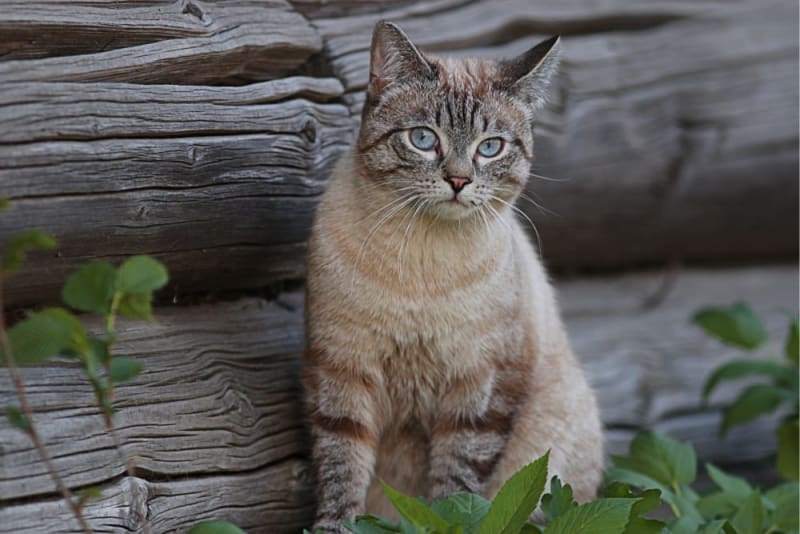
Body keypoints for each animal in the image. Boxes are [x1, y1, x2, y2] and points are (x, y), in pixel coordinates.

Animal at [304, 19, 604, 532]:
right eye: (424, 140)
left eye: (490, 148)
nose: (459, 181)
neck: (423, 266)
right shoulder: (342, 372)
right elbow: (342, 475)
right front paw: (335, 528)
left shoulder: (479, 392)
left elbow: (456, 494)